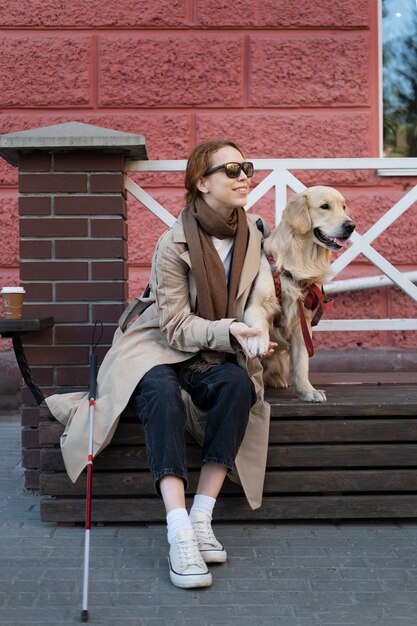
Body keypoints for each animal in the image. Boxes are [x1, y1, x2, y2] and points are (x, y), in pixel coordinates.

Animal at [244, 184, 354, 400]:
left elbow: (302, 362)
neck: (300, 261)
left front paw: (308, 391)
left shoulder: (302, 322)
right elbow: (261, 322)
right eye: (325, 206)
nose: (351, 226)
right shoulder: (256, 305)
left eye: (344, 206)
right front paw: (259, 341)